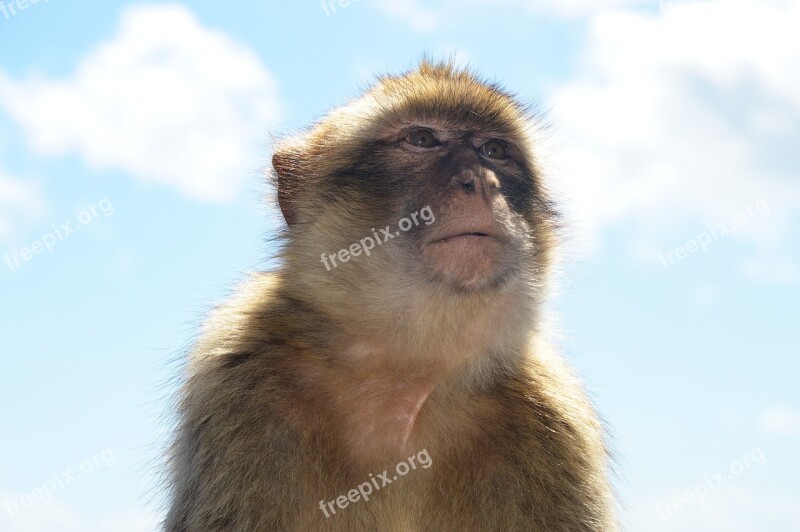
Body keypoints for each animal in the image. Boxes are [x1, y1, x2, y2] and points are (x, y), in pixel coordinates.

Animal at [164, 60, 620, 528]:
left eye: (495, 151)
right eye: (422, 139)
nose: (482, 181)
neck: (405, 368)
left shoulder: (552, 413)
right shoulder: (240, 373)